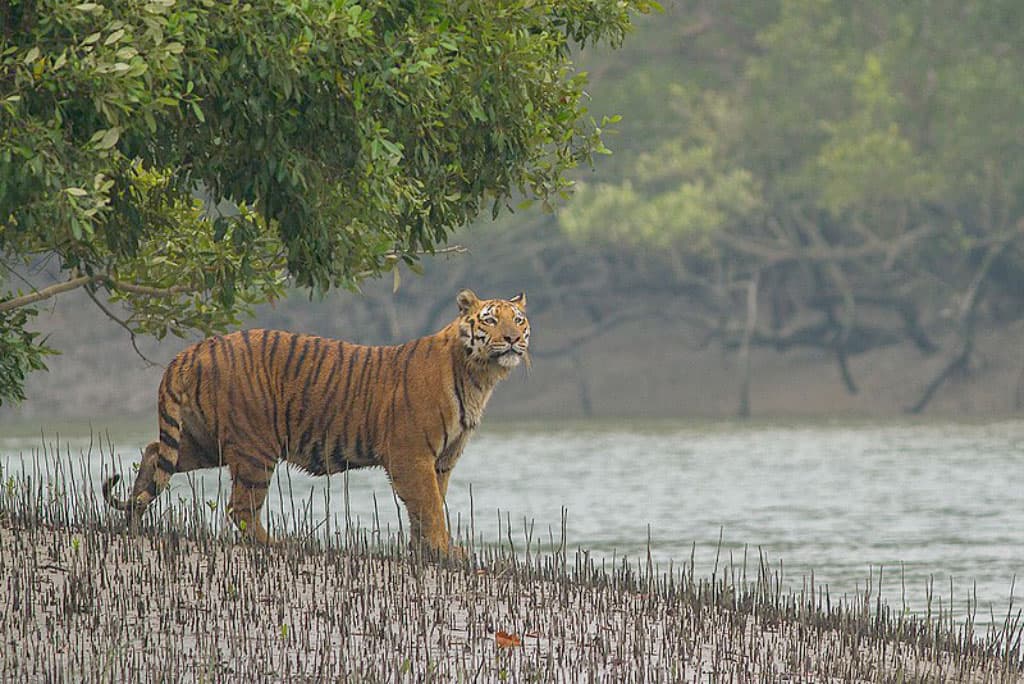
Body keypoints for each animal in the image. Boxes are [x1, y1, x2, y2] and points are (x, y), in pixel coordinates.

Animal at [101, 288, 528, 557]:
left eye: (519, 321)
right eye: (490, 320)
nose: (511, 339)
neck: (479, 376)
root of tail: (192, 349)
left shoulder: (442, 460)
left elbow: (430, 505)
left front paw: (427, 550)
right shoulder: (411, 455)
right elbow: (429, 506)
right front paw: (445, 551)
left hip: (206, 441)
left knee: (154, 452)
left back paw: (133, 520)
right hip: (255, 447)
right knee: (241, 508)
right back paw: (276, 545)